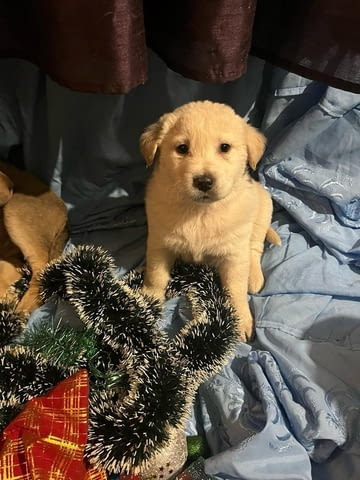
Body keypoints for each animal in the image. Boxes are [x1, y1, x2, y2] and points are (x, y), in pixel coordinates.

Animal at [139, 100, 280, 342]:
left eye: (224, 147)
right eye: (182, 148)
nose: (204, 181)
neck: (200, 212)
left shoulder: (234, 255)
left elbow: (235, 289)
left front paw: (242, 319)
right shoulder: (159, 243)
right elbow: (156, 275)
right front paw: (150, 299)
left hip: (263, 208)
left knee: (254, 248)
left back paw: (253, 276)